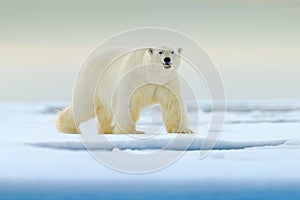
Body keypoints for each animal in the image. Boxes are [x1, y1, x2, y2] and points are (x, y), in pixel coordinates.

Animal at [56, 46, 192, 134]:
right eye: (160, 52)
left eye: (173, 52)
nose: (167, 59)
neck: (150, 74)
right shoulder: (133, 78)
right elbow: (128, 103)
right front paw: (132, 131)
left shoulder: (167, 82)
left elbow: (174, 103)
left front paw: (184, 130)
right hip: (92, 80)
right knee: (83, 105)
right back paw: (69, 128)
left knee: (103, 111)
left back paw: (107, 130)